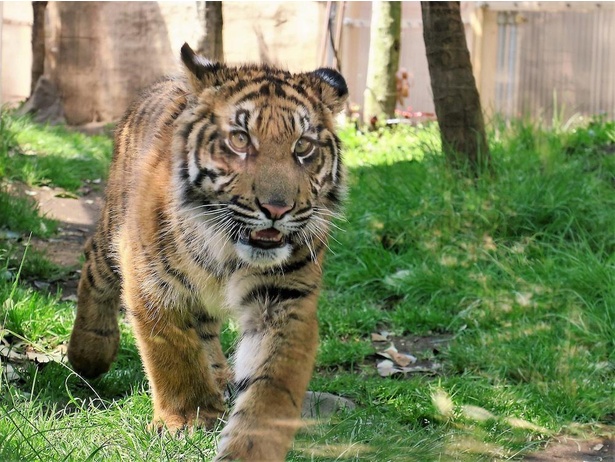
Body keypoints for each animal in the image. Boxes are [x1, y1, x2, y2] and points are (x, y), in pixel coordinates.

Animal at [67, 42, 348, 458]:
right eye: (241, 139)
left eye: (303, 147)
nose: (277, 209)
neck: (228, 249)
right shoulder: (152, 281)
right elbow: (172, 351)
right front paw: (188, 420)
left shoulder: (285, 297)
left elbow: (272, 386)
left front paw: (250, 448)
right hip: (113, 231)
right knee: (93, 266)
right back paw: (88, 353)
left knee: (205, 330)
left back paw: (220, 378)